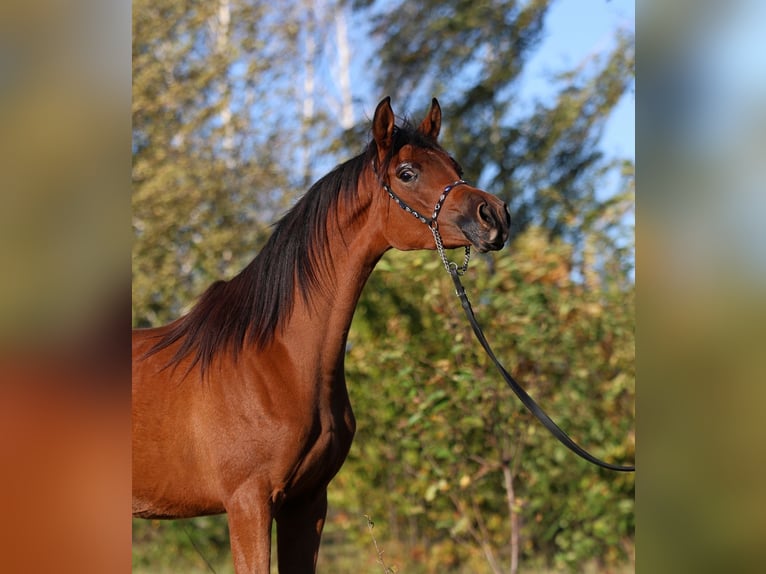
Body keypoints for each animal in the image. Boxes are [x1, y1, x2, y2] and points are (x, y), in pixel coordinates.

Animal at [135, 97, 512, 572]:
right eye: (407, 173)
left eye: (455, 165)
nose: (494, 215)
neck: (280, 361)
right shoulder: (248, 503)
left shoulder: (308, 502)